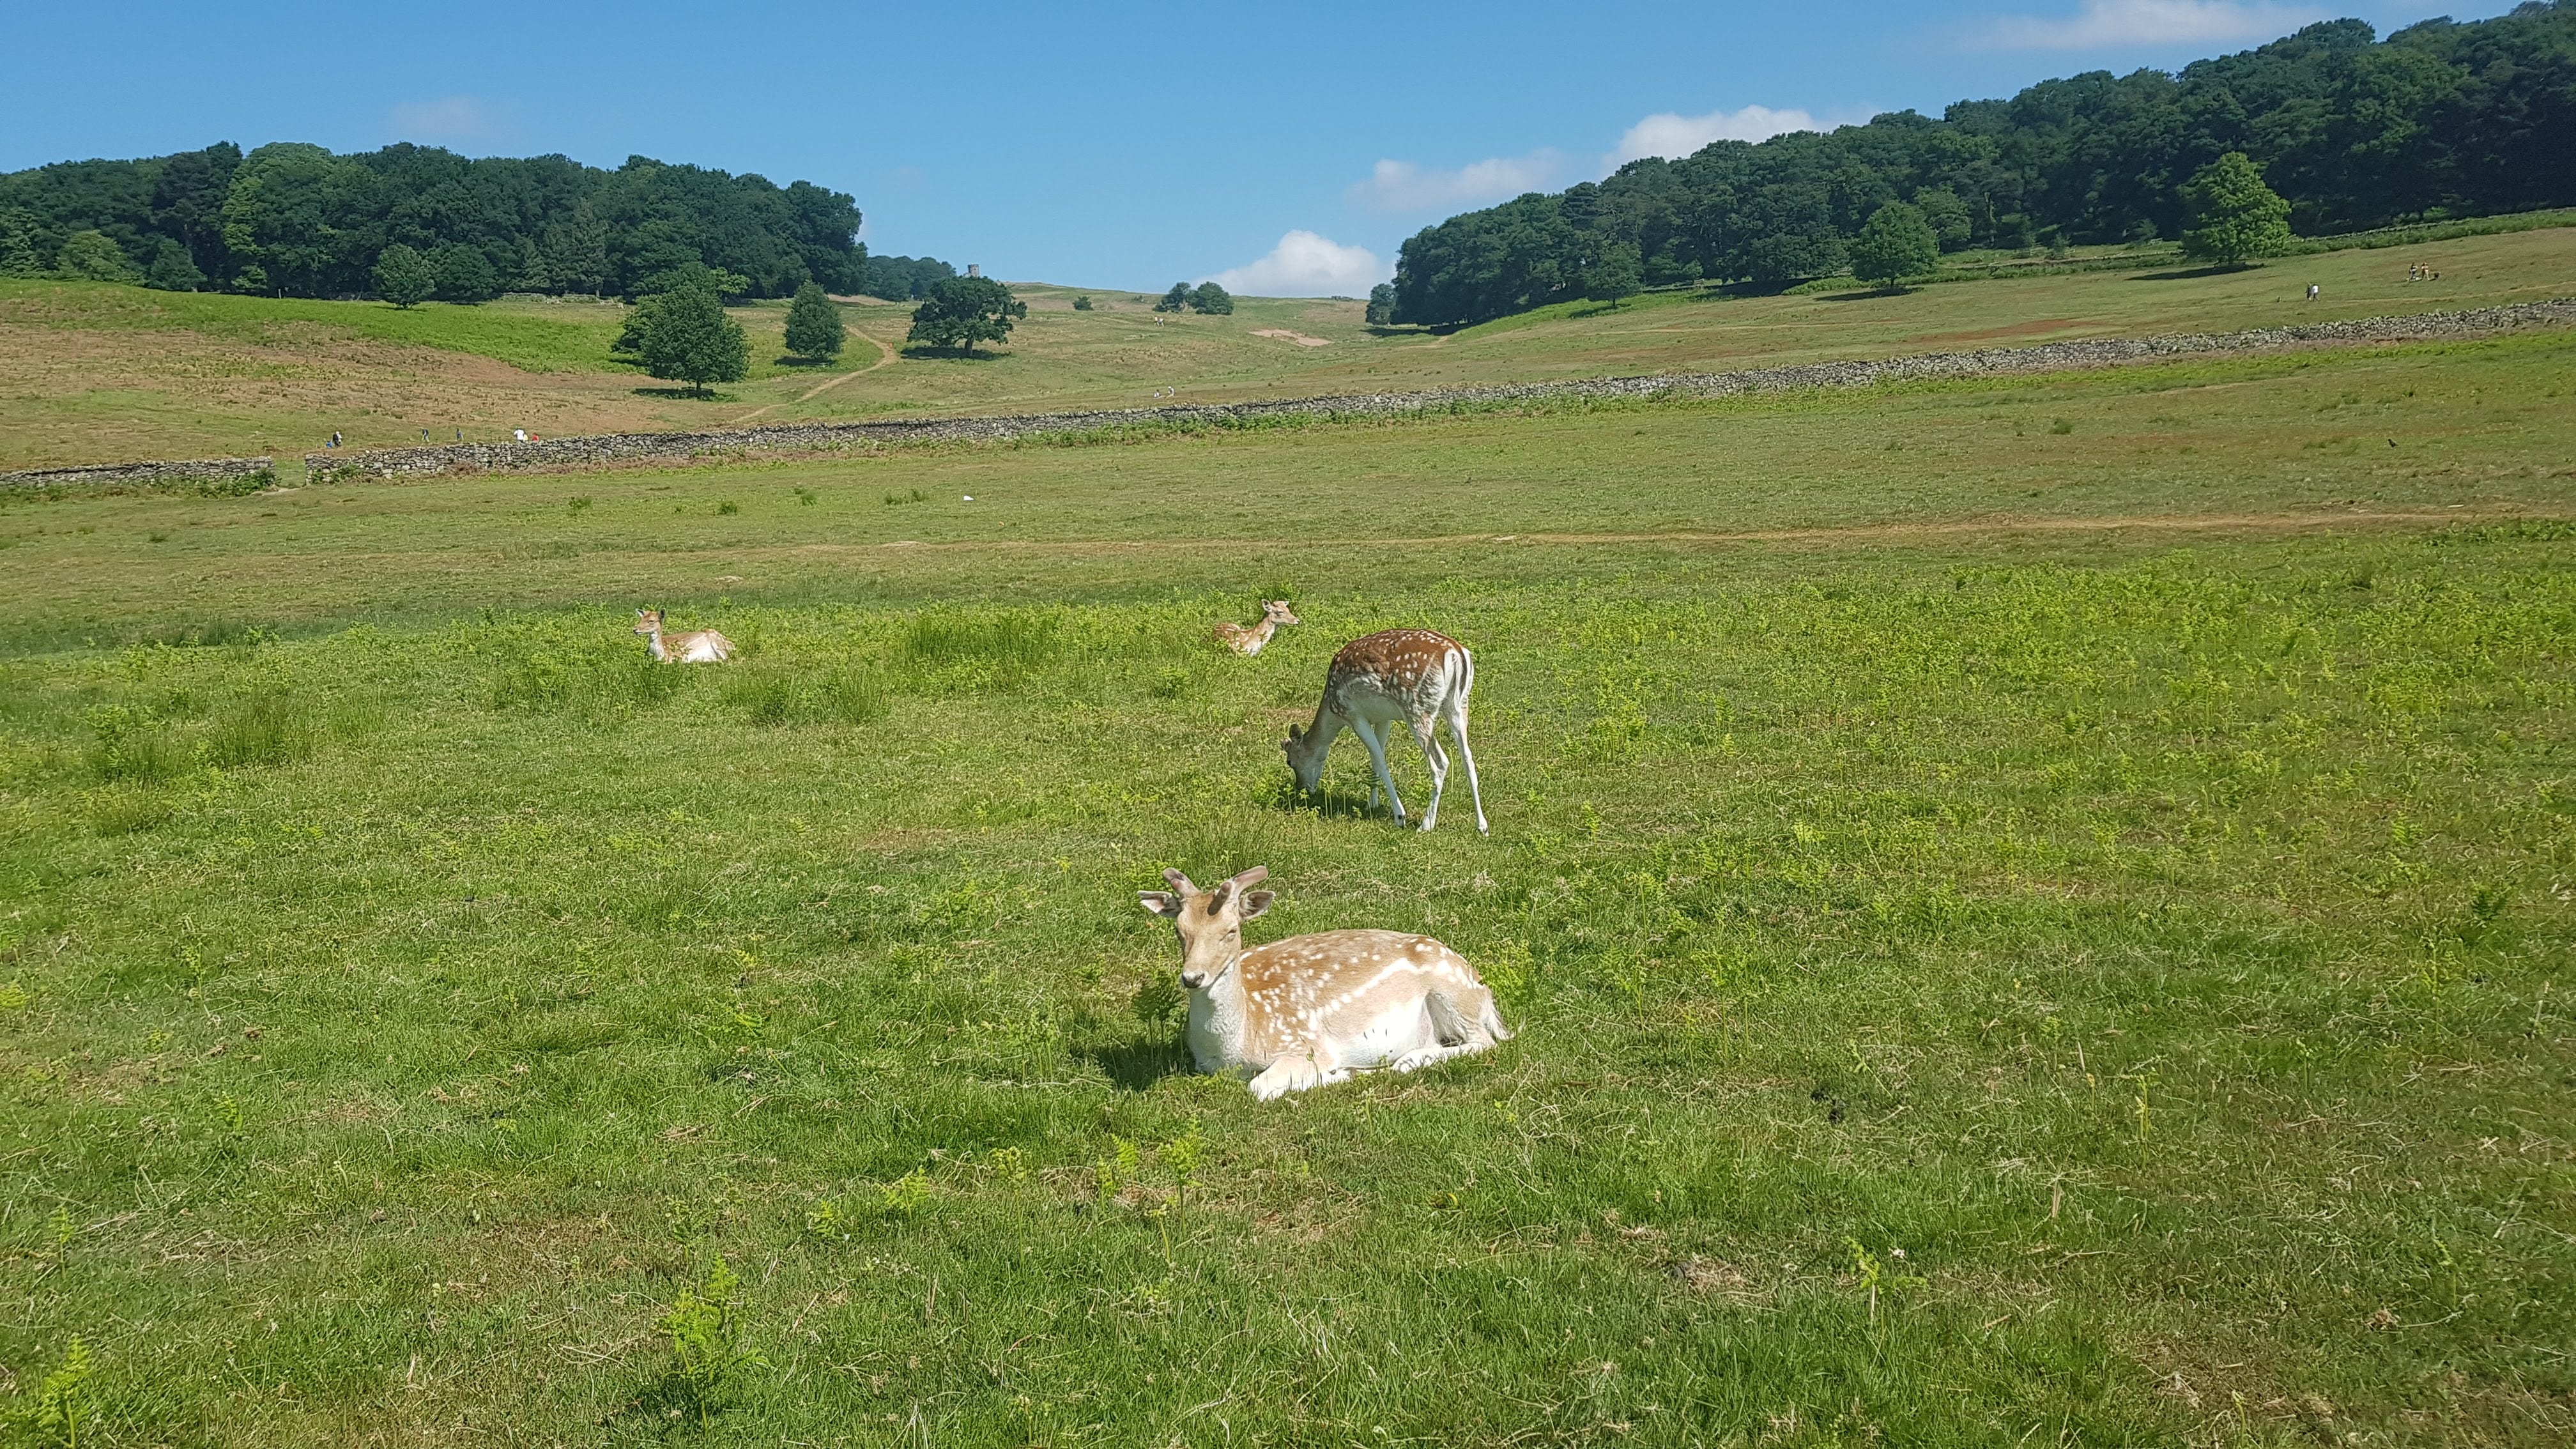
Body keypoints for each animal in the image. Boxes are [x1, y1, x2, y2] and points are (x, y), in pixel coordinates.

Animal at [1133, 855, 1504, 1093]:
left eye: (1231, 930)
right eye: (1179, 931)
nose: (1193, 977)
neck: (1234, 1046)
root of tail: (1484, 992)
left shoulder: (1305, 1044)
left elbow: (1259, 1087)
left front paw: (1343, 1074)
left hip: (1453, 994)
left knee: (1485, 1042)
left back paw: (1408, 1060)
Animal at [1288, 624, 1494, 835]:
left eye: (1290, 761)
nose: (1302, 788)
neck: (1332, 710)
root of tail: (1456, 653)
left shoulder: (1354, 715)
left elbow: (1381, 760)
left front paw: (1399, 815)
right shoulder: (1383, 719)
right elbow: (1375, 759)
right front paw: (1372, 803)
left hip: (1417, 709)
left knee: (1441, 762)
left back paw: (1426, 824)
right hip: (1459, 706)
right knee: (1468, 758)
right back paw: (1482, 826)